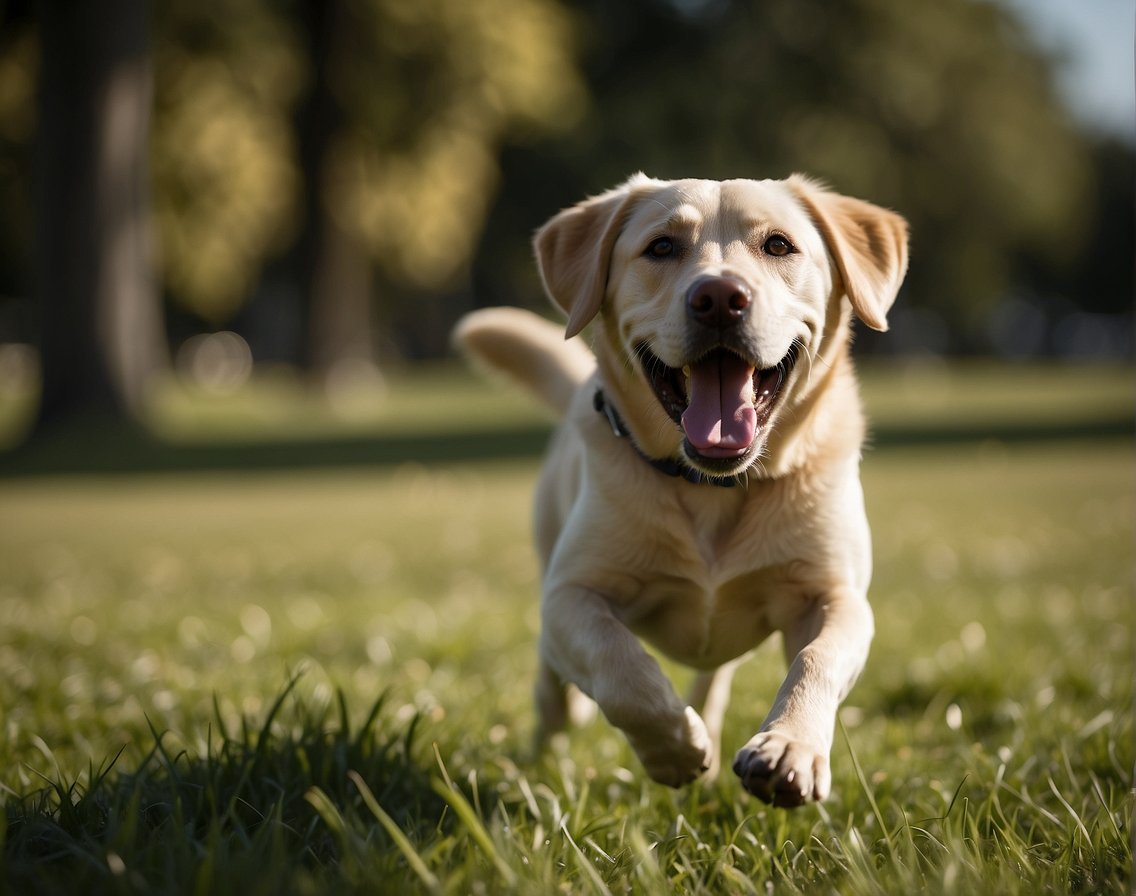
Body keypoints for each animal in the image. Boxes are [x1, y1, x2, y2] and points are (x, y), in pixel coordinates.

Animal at [452, 172, 904, 804]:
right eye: (661, 247)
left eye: (779, 245)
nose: (719, 297)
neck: (714, 486)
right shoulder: (571, 594)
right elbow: (621, 666)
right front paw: (673, 749)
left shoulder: (838, 597)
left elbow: (817, 660)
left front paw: (788, 749)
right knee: (551, 691)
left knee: (713, 677)